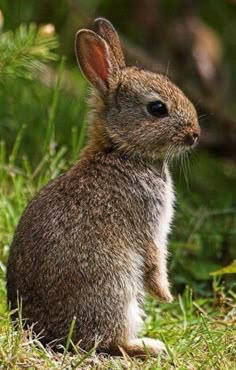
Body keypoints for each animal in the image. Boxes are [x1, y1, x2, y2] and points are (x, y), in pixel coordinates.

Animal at [6, 18, 200, 358]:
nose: (195, 134)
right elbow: (155, 260)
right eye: (157, 108)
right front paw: (165, 295)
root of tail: (43, 331)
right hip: (116, 287)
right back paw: (150, 345)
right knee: (109, 341)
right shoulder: (150, 225)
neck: (121, 151)